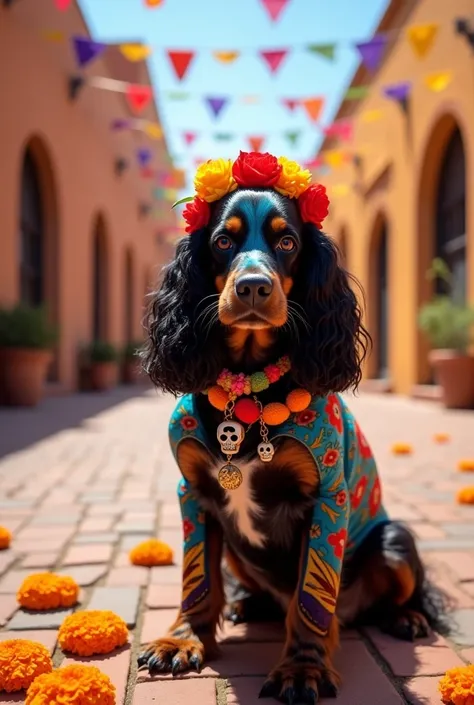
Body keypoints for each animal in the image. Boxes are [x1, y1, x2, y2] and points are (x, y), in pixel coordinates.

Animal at [139, 151, 442, 700]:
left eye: (287, 242)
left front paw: (303, 668)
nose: (253, 287)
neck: (249, 391)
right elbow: (198, 579)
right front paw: (183, 640)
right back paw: (248, 603)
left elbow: (311, 598)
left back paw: (406, 617)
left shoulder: (327, 497)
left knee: (394, 594)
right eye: (223, 240)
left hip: (394, 540)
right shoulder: (193, 492)